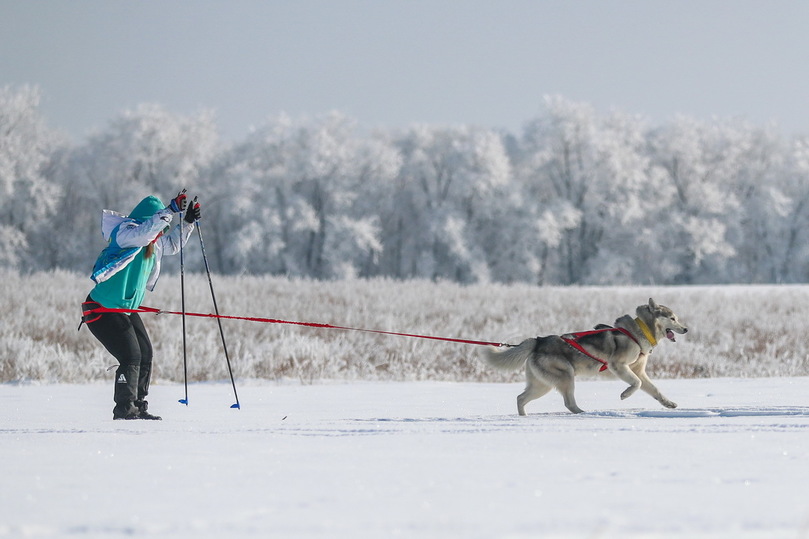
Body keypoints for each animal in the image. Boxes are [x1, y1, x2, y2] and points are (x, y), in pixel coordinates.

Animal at [480, 298, 688, 416]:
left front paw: (669, 403)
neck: (640, 332)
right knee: (569, 403)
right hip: (566, 377)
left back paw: (524, 417)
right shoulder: (619, 366)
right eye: (672, 318)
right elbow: (635, 384)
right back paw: (583, 414)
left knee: (520, 398)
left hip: (542, 385)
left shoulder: (639, 371)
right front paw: (625, 394)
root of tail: (538, 341)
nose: (686, 329)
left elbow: (654, 389)